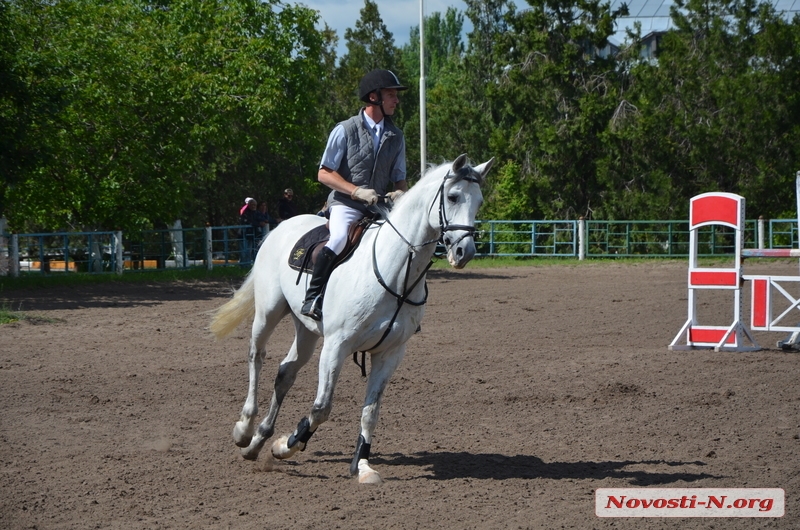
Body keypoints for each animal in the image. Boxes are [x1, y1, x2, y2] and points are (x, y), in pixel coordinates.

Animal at [209, 154, 490, 482]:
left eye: (479, 201)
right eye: (453, 196)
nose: (464, 251)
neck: (396, 273)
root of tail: (281, 227)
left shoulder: (390, 353)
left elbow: (371, 412)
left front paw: (363, 466)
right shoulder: (336, 346)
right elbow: (322, 408)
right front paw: (286, 446)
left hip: (307, 331)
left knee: (285, 372)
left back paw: (258, 440)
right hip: (269, 312)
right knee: (256, 356)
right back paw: (245, 429)